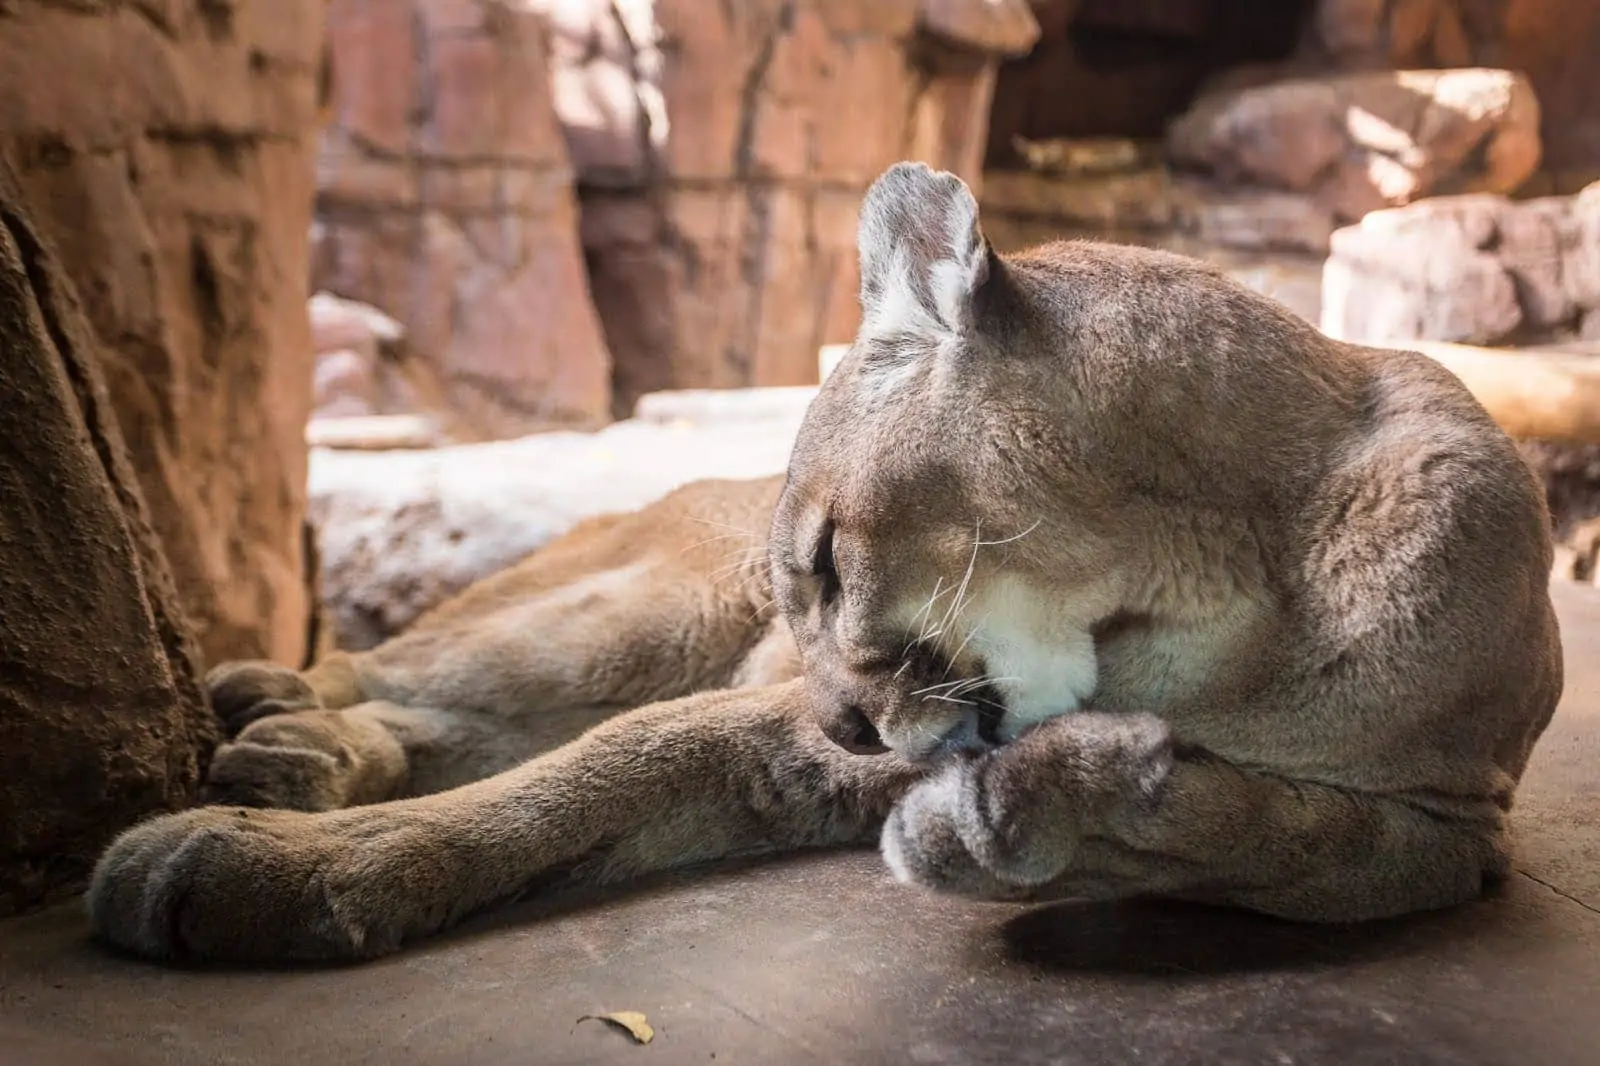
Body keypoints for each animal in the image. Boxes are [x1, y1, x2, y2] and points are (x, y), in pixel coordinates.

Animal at [87, 162, 1562, 963]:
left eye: (826, 559)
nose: (847, 723)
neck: (1212, 601)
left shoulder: (1449, 819)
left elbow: (1285, 835)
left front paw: (1064, 812)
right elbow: (603, 762)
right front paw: (276, 868)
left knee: (455, 710)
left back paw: (297, 751)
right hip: (622, 613)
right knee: (439, 669)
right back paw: (282, 710)